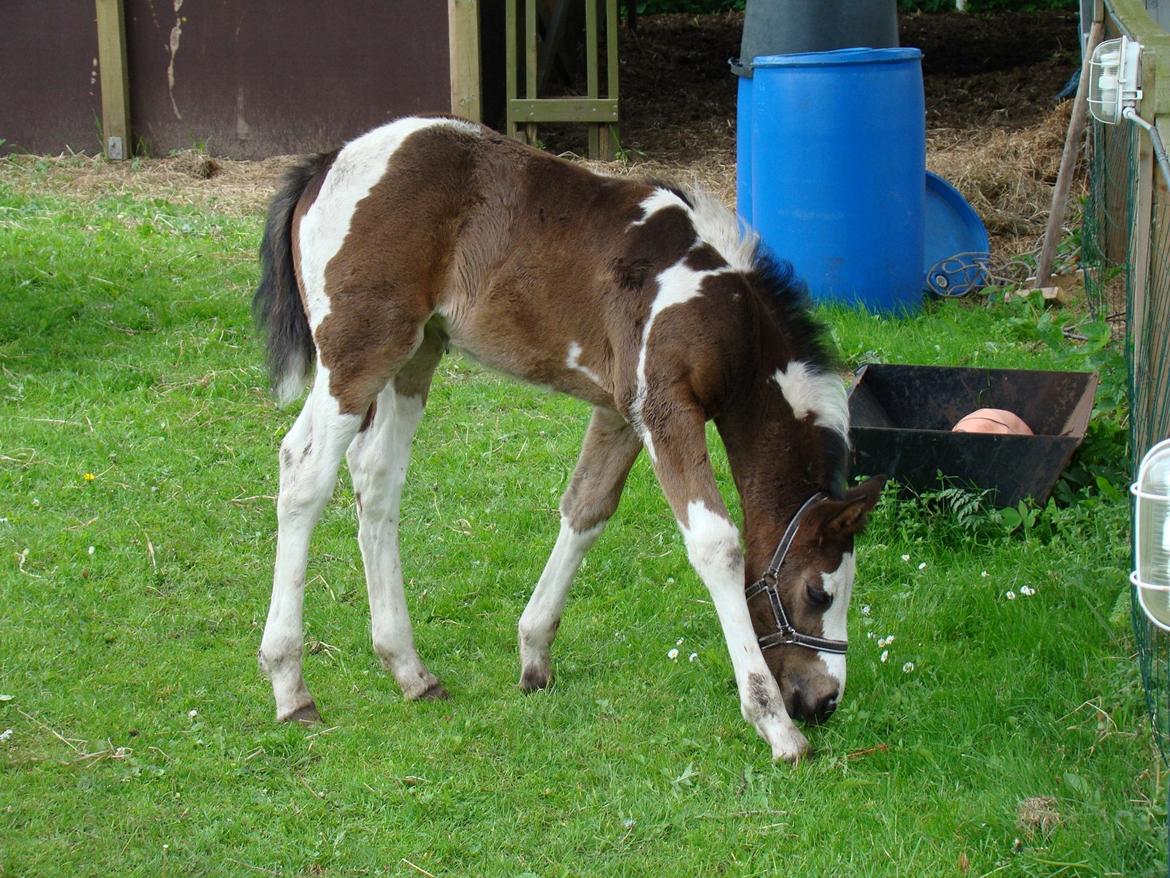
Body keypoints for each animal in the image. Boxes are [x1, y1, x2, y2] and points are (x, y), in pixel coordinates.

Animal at [253, 117, 879, 763]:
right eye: (818, 594)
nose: (823, 701)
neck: (730, 317)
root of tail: (326, 163)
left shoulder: (623, 410)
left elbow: (586, 508)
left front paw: (534, 654)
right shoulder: (667, 411)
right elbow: (717, 546)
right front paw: (775, 724)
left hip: (417, 352)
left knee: (375, 479)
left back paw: (410, 671)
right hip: (358, 355)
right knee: (303, 470)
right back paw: (290, 686)